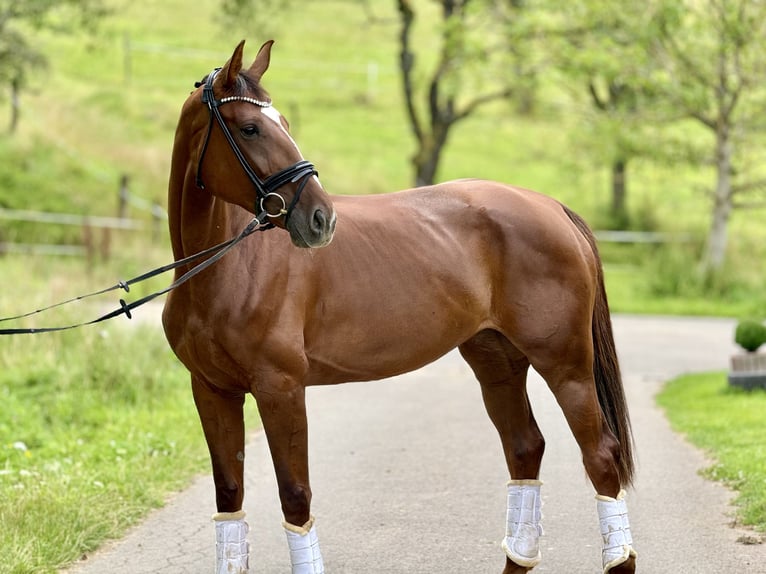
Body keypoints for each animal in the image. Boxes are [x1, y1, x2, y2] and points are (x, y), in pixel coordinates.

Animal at [164, 38, 640, 572]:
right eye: (250, 127)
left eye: (282, 122)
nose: (320, 218)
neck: (227, 269)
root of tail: (553, 207)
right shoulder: (211, 391)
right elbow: (230, 496)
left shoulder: (280, 388)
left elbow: (295, 496)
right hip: (496, 360)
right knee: (524, 447)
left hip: (566, 366)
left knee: (600, 456)